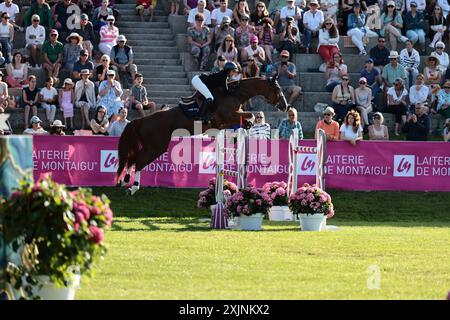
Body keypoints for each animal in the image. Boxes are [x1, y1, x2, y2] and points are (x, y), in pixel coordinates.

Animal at [116, 77, 290, 195]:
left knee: (133, 158)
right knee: (139, 161)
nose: (285, 106)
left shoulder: (223, 123)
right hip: (157, 146)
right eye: (277, 89)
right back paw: (133, 187)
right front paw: (248, 124)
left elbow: (243, 120)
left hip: (150, 145)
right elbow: (250, 115)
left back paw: (125, 180)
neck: (234, 94)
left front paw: (241, 130)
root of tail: (143, 120)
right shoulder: (228, 117)